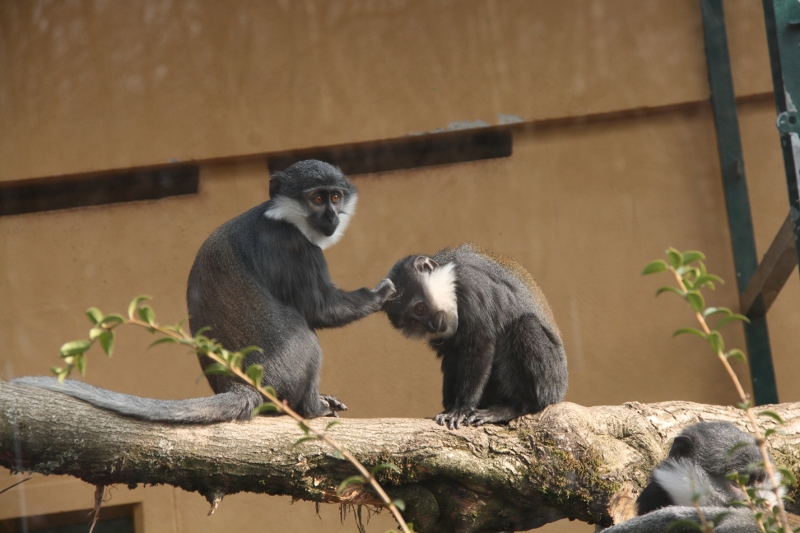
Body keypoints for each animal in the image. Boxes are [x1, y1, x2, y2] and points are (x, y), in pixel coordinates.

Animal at [14, 160, 396, 422]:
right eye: (317, 198)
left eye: (336, 196)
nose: (332, 216)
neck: (280, 215)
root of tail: (238, 385)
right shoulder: (294, 246)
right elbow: (321, 310)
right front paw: (382, 293)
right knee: (311, 344)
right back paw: (313, 408)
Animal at [382, 243, 564, 430]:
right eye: (412, 321)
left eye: (420, 308)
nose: (430, 325)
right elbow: (452, 355)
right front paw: (449, 407)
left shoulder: (469, 284)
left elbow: (480, 345)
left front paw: (460, 409)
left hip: (550, 382)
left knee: (526, 325)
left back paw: (515, 407)